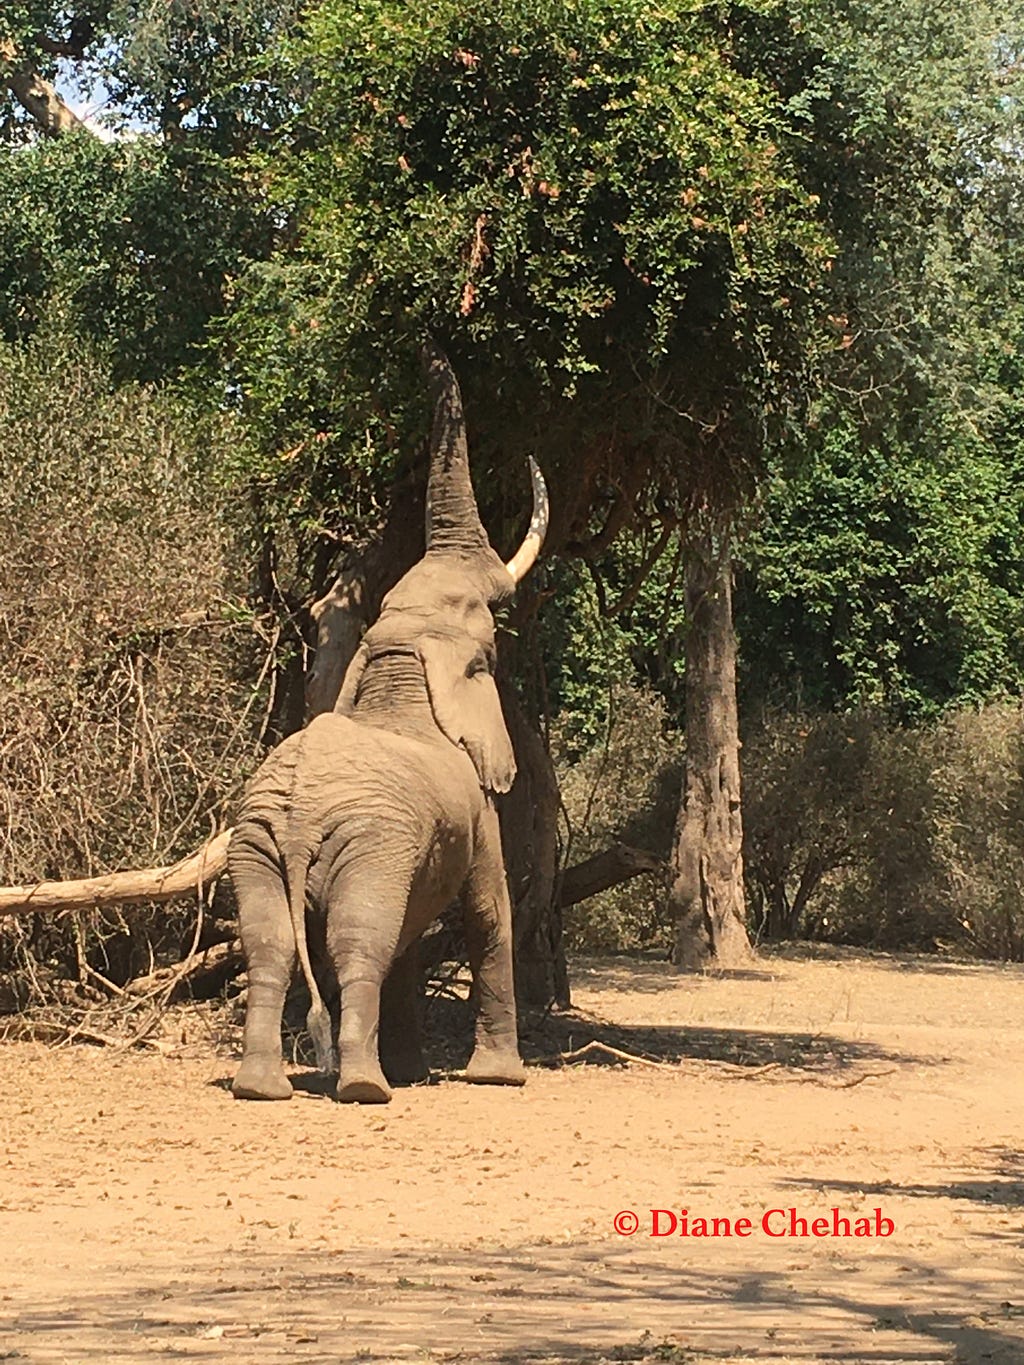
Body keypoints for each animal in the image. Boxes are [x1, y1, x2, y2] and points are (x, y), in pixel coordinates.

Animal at [228, 341, 548, 1097]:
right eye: (492, 651)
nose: (432, 341)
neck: (401, 669)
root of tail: (296, 819)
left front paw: (417, 1071)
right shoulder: (476, 809)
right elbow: (490, 911)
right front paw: (500, 1080)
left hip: (260, 844)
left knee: (269, 945)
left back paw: (264, 1087)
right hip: (368, 846)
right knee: (359, 941)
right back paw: (364, 1089)